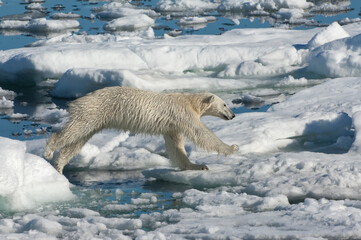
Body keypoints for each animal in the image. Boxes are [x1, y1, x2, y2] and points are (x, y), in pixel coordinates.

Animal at [43, 87, 238, 173]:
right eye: (225, 104)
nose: (233, 115)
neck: (190, 101)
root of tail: (78, 100)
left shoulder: (172, 126)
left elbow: (176, 146)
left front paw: (196, 166)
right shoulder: (182, 114)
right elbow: (201, 133)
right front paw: (232, 148)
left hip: (97, 119)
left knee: (79, 139)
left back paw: (59, 165)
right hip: (94, 111)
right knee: (75, 130)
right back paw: (50, 149)